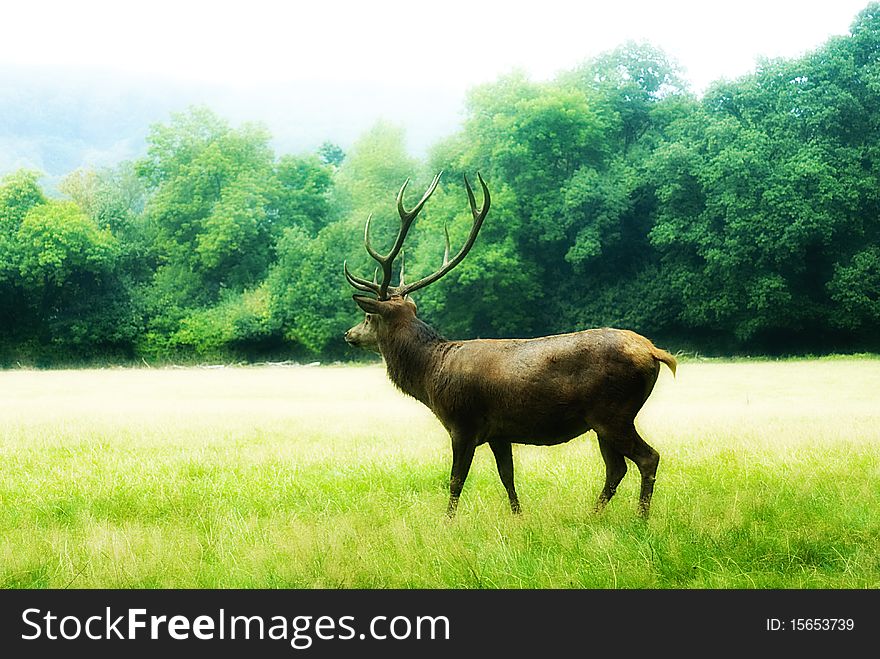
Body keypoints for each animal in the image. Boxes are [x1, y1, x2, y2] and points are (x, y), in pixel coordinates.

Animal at [342, 171, 672, 520]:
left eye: (367, 316)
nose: (348, 334)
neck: (430, 375)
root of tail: (654, 352)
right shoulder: (499, 433)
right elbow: (507, 476)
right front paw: (518, 515)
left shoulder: (462, 424)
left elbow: (456, 481)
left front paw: (448, 521)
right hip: (605, 420)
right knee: (616, 468)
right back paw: (591, 516)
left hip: (613, 412)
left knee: (647, 458)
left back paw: (640, 518)